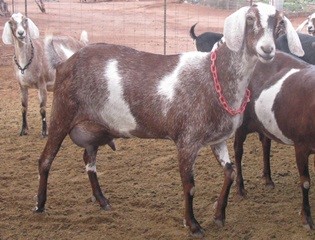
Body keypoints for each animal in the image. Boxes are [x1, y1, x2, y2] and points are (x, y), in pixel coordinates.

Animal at [34, 2, 304, 237]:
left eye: (278, 25)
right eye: (249, 19)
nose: (267, 50)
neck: (214, 77)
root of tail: (64, 62)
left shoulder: (217, 139)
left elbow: (230, 172)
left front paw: (219, 215)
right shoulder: (187, 140)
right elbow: (189, 184)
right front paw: (193, 225)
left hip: (93, 129)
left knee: (89, 162)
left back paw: (102, 201)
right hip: (62, 113)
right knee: (45, 160)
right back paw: (39, 205)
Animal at [235, 51, 315, 230]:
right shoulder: (301, 146)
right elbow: (305, 182)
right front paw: (306, 218)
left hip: (264, 123)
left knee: (266, 144)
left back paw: (268, 179)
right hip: (241, 121)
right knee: (238, 151)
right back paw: (240, 188)